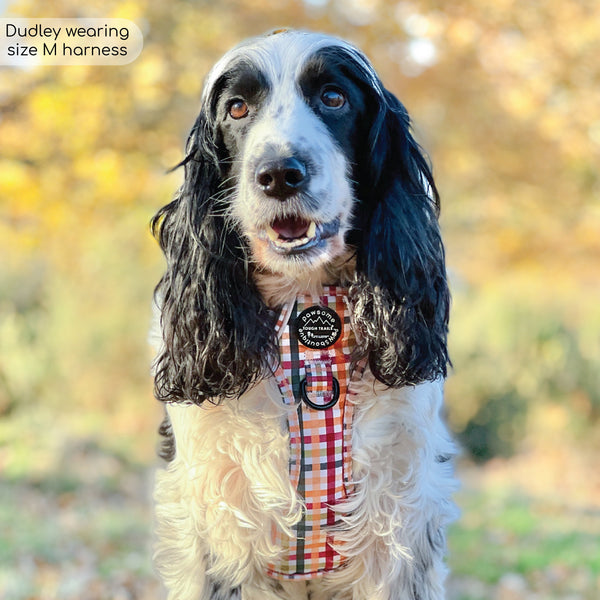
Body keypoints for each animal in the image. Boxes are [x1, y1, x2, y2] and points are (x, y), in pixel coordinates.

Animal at [149, 29, 454, 600]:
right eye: (237, 108)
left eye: (334, 98)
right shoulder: (218, 524)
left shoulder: (399, 527)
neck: (308, 305)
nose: (278, 174)